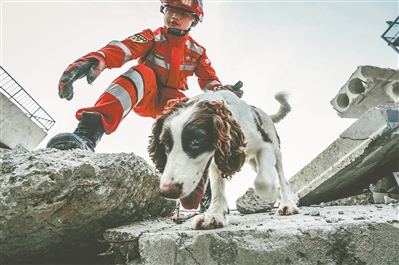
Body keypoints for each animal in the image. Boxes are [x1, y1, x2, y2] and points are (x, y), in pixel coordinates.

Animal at [148, 89, 298, 228]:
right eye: (165, 143)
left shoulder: (265, 145)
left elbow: (262, 182)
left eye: (196, 141)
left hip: (275, 149)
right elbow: (217, 186)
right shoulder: (217, 160)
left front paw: (272, 193)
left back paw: (287, 204)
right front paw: (214, 215)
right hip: (254, 163)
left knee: (281, 177)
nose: (167, 192)